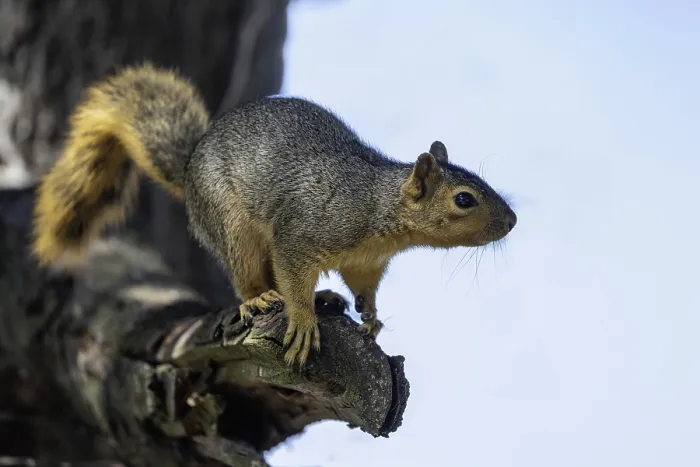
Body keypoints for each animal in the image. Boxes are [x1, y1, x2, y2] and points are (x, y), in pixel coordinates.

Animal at [33, 63, 517, 368]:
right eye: (464, 200)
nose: (512, 221)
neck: (377, 207)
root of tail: (189, 166)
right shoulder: (304, 232)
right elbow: (292, 271)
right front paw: (302, 321)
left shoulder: (365, 262)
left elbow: (363, 287)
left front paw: (371, 315)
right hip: (231, 224)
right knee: (252, 274)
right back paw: (261, 298)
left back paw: (326, 298)